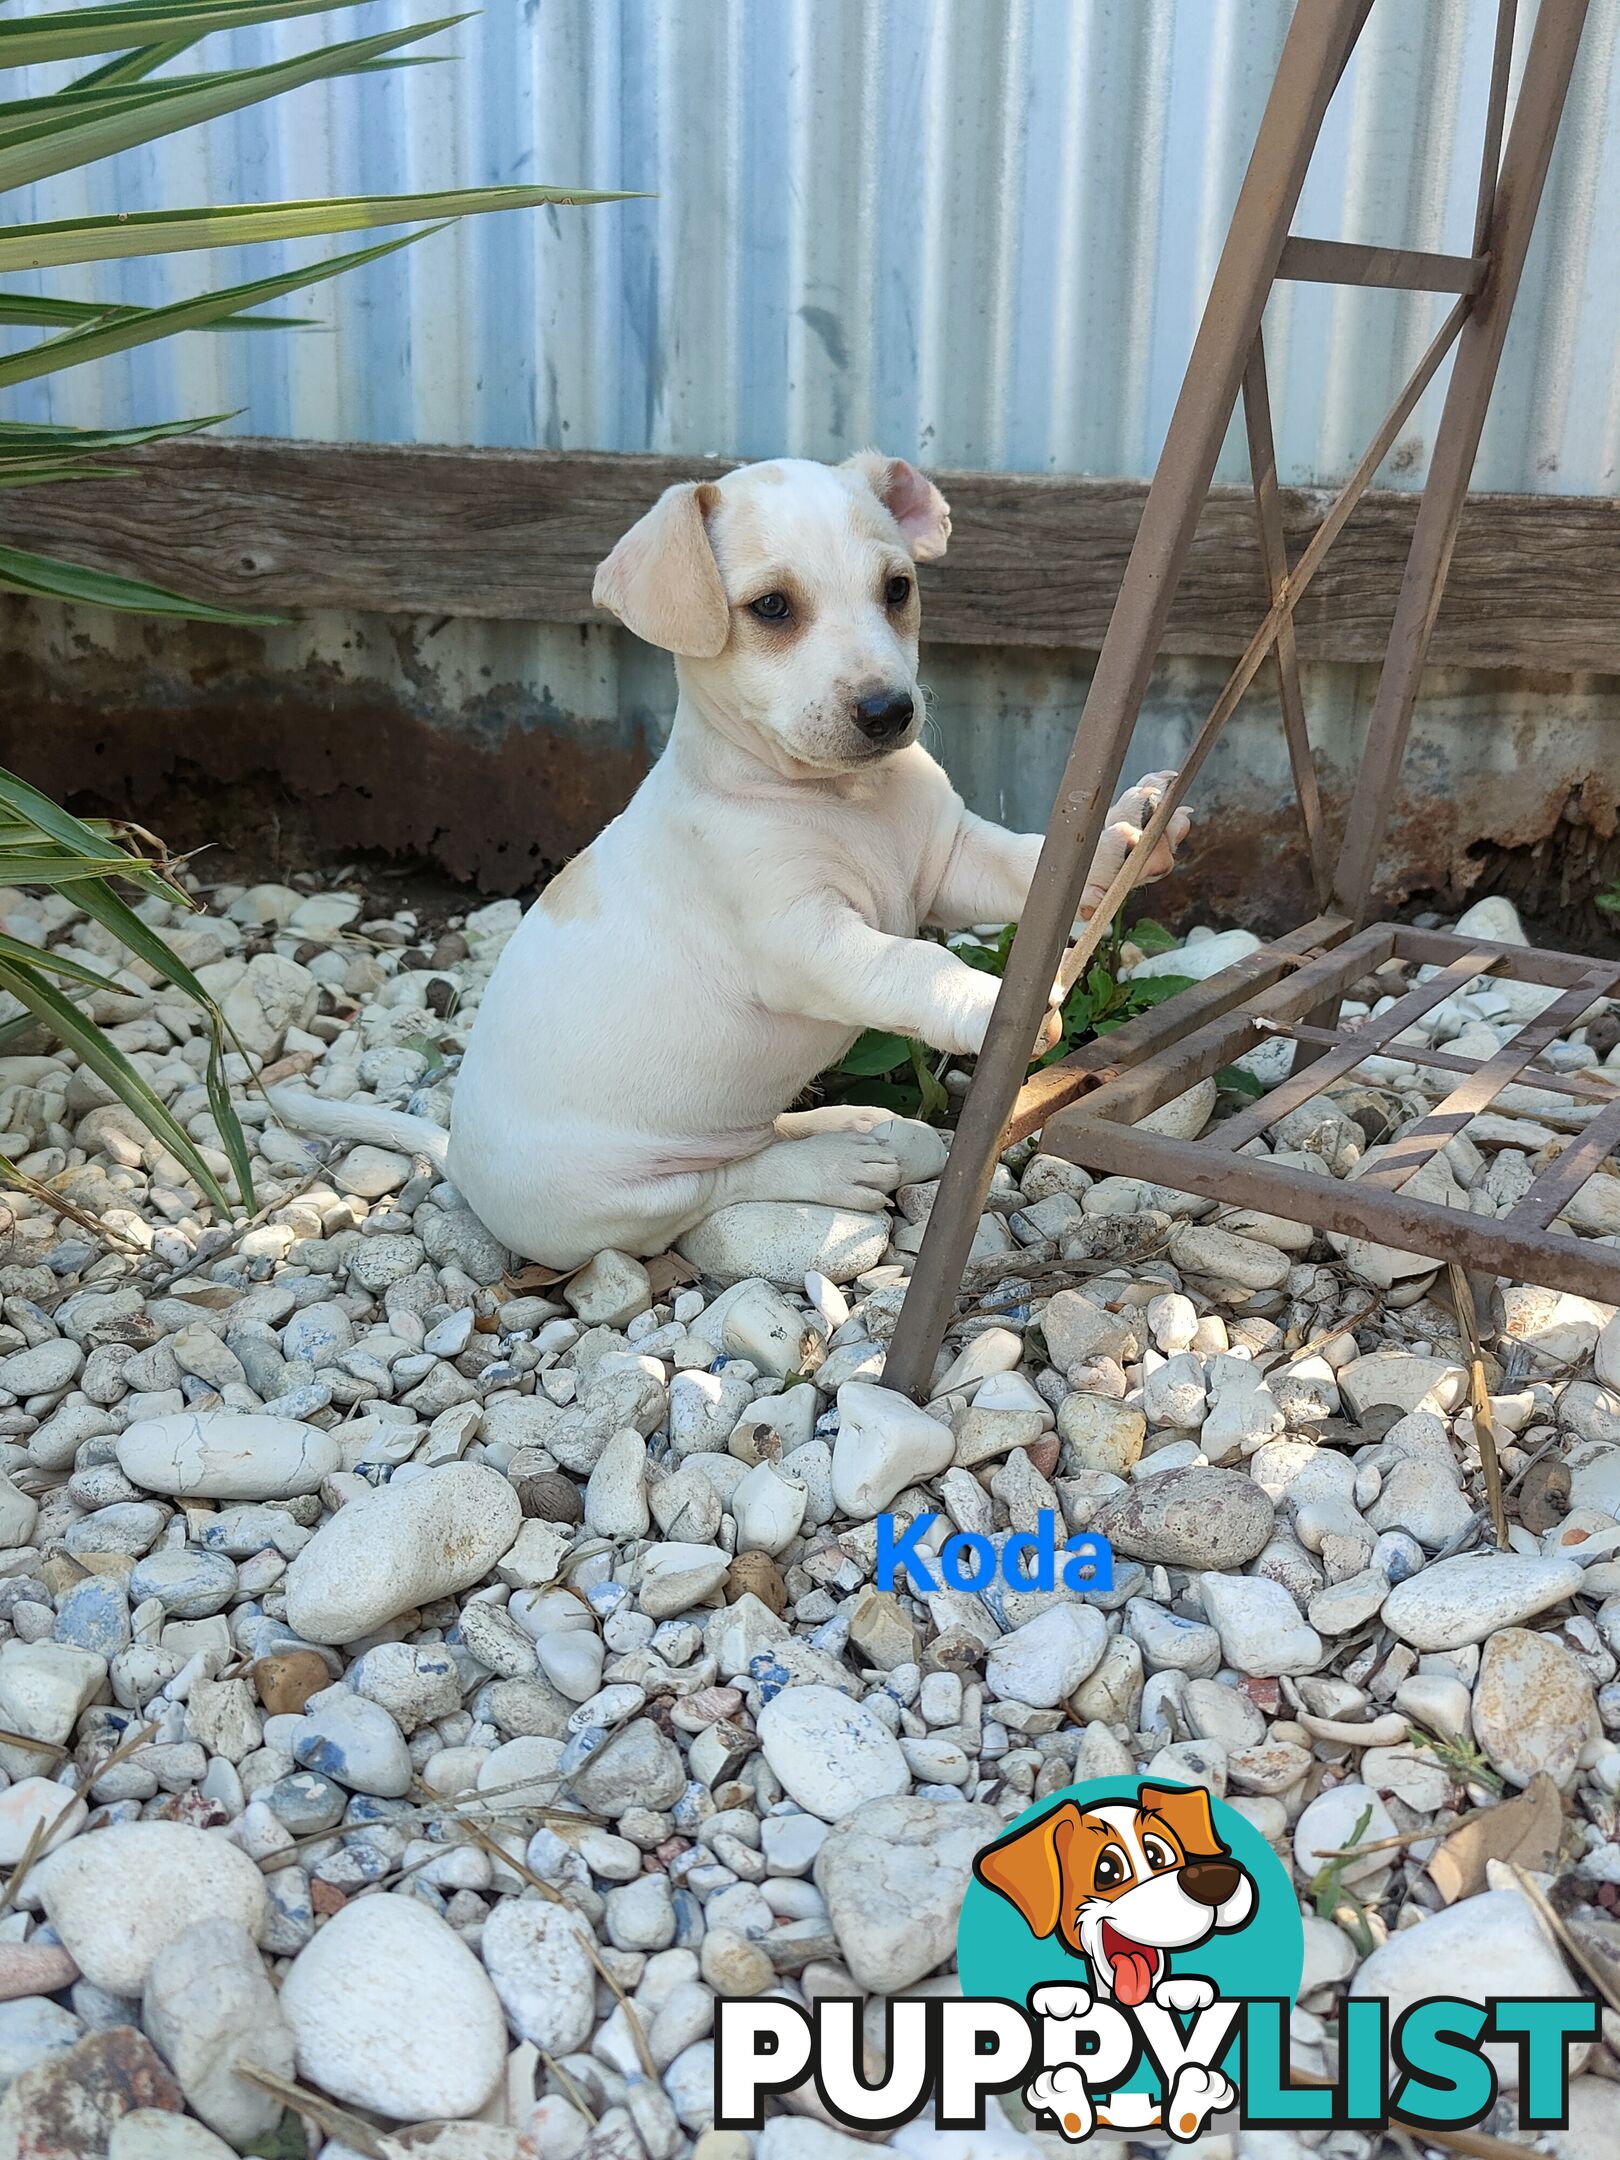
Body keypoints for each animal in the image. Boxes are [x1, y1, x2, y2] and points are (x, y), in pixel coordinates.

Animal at [273, 455, 1192, 1261]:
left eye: (897, 589)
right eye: (773, 607)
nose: (889, 711)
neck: (847, 799)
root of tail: (457, 1159)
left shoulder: (953, 861)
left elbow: (1029, 865)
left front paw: (1132, 832)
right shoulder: (802, 939)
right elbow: (911, 961)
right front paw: (986, 1001)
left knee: (755, 1138)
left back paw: (852, 1124)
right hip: (625, 1198)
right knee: (724, 1184)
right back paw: (838, 1160)